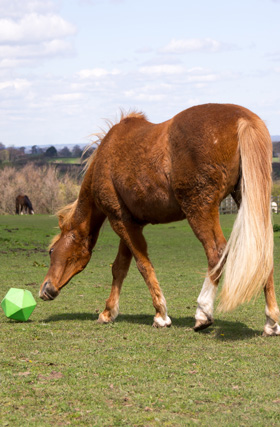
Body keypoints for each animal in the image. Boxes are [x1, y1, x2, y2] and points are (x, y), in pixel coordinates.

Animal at [38, 104, 280, 338]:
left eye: (51, 251)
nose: (45, 290)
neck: (105, 157)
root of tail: (243, 119)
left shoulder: (119, 221)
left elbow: (143, 265)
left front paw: (161, 315)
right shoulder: (130, 223)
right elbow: (120, 267)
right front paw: (108, 312)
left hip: (200, 210)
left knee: (217, 253)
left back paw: (203, 312)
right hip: (248, 199)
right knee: (262, 253)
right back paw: (271, 322)